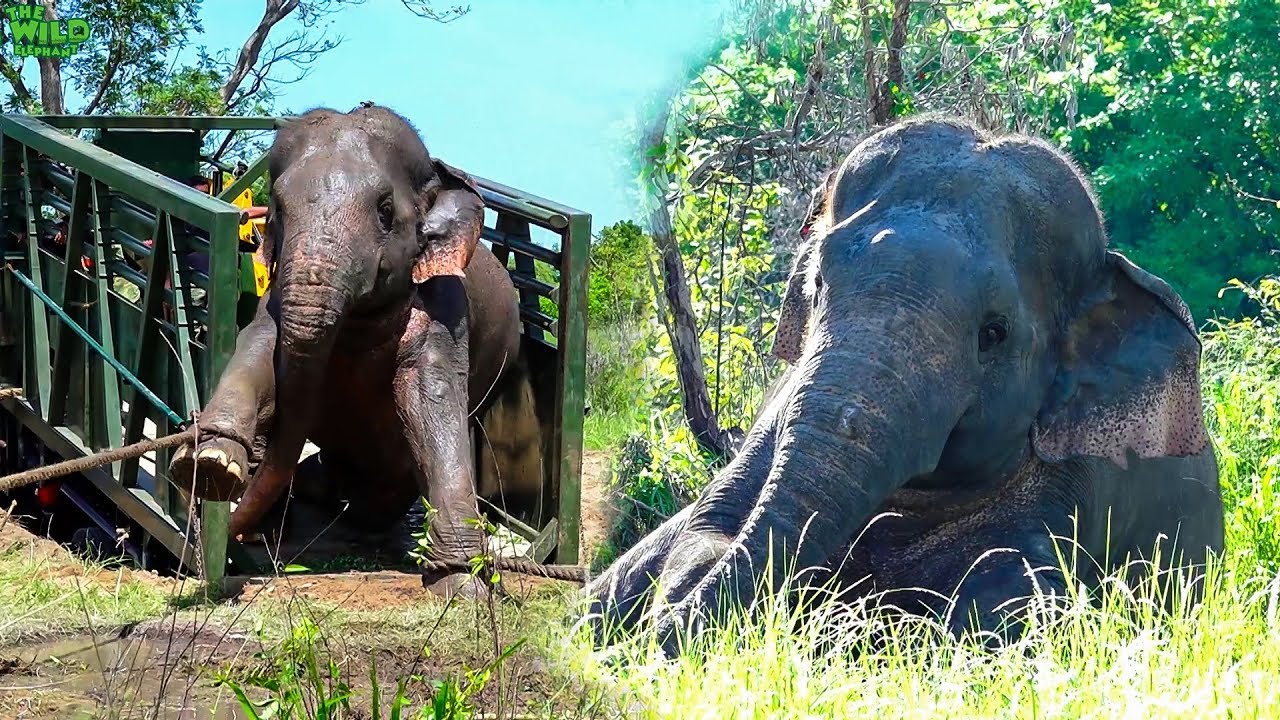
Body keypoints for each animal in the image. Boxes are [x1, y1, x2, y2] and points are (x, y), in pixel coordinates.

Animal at [169, 104, 550, 596]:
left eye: (385, 210)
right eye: (277, 209)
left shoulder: (445, 305)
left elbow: (431, 398)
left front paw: (462, 582)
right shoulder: (274, 294)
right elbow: (259, 351)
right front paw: (210, 463)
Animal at [585, 115, 1224, 651]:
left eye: (994, 333)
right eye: (818, 282)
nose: (656, 641)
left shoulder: (1072, 482)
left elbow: (1012, 601)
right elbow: (706, 529)